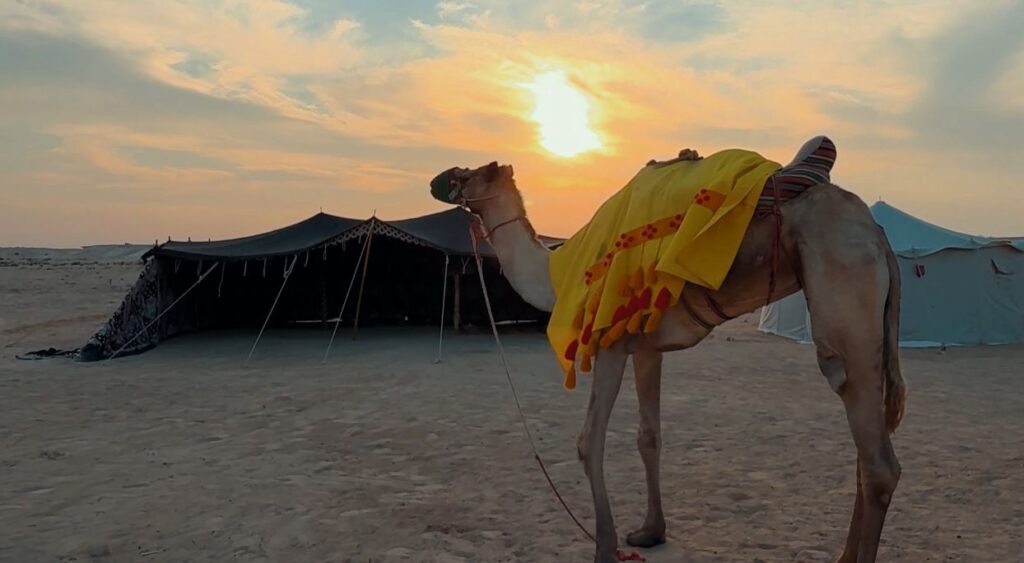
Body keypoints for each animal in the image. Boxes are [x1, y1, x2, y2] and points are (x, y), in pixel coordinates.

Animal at [429, 143, 907, 563]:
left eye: (467, 173)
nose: (436, 179)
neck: (559, 271)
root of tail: (877, 234)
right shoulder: (645, 346)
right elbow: (649, 436)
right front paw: (649, 532)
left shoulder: (609, 340)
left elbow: (589, 441)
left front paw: (605, 547)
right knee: (866, 451)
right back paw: (843, 555)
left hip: (843, 292)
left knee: (877, 459)